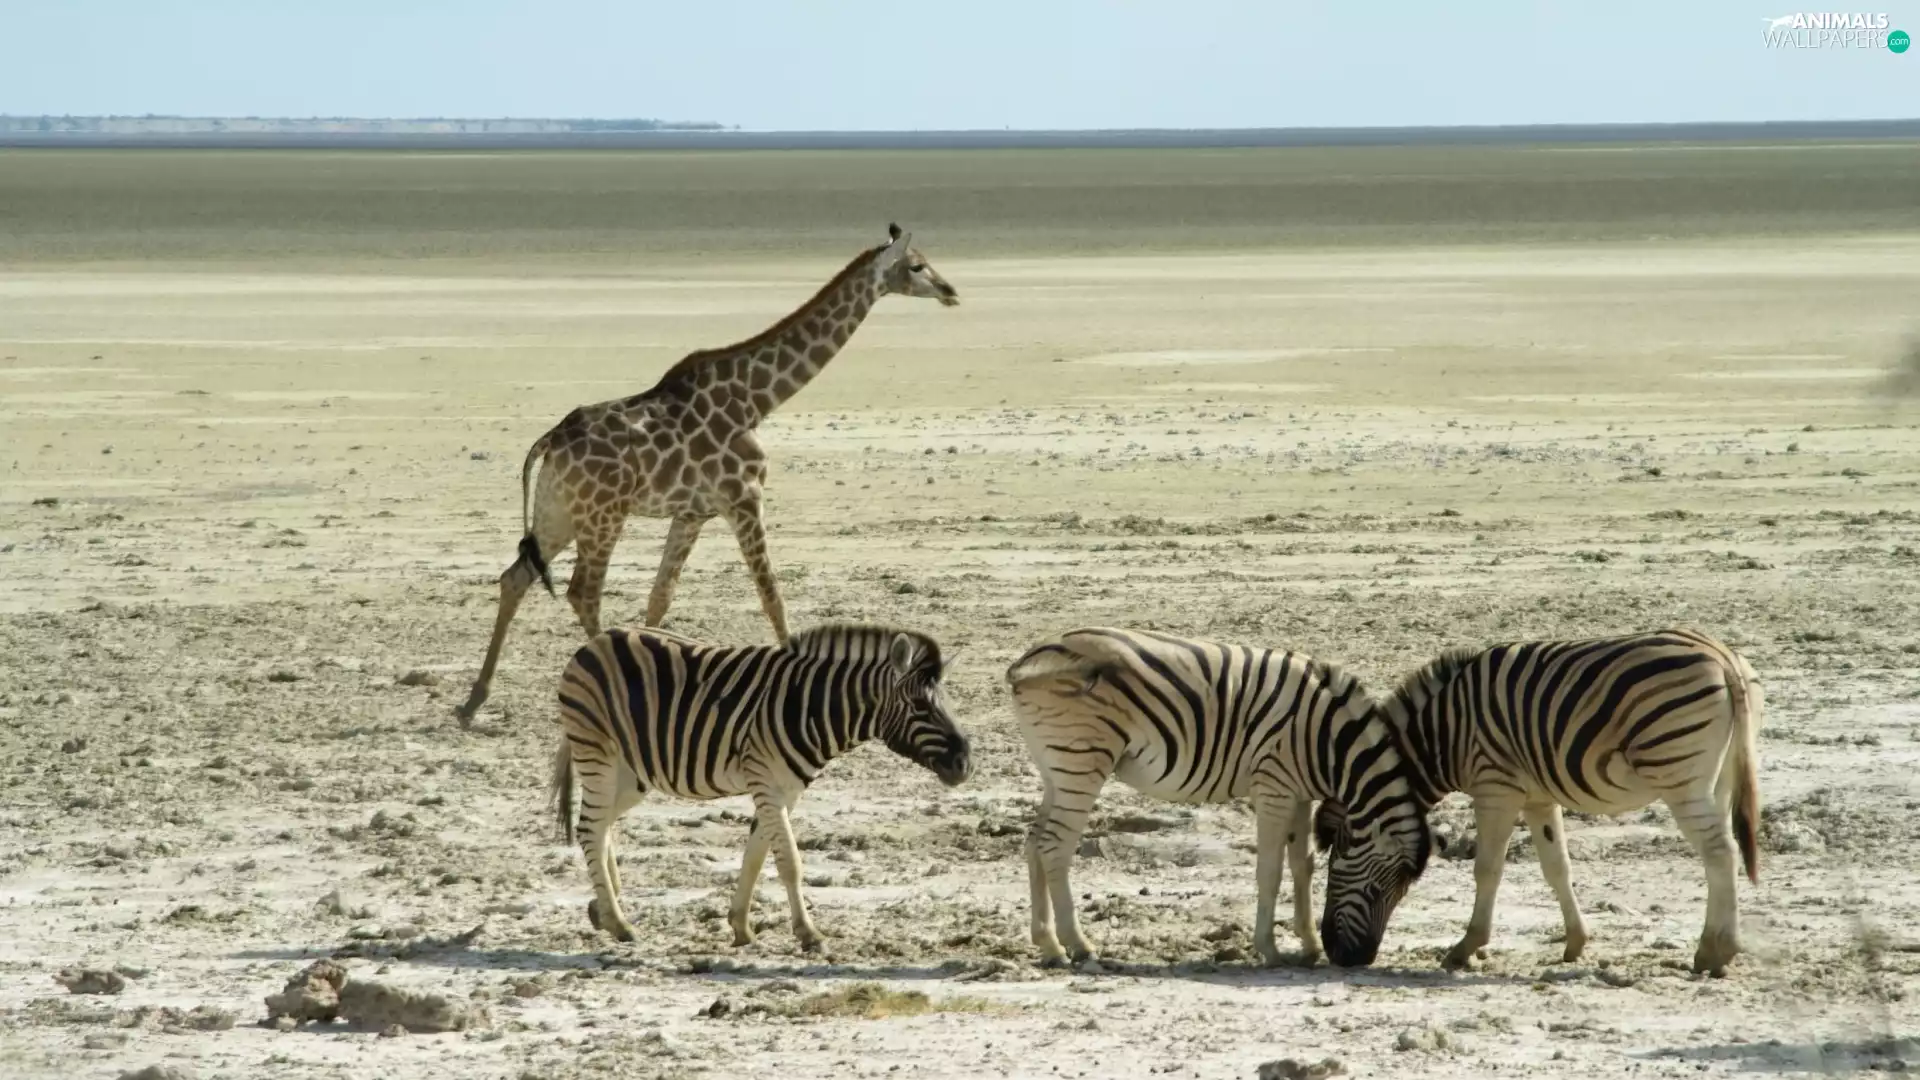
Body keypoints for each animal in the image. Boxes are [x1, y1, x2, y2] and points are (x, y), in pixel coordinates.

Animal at [454, 224, 960, 725]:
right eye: (917, 265)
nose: (950, 291)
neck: (757, 399)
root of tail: (550, 440)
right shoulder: (744, 498)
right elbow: (772, 596)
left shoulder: (693, 513)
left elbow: (660, 597)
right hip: (604, 515)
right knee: (584, 593)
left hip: (558, 511)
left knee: (516, 578)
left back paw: (474, 700)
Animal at [552, 622, 973, 949]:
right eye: (920, 707)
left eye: (949, 703)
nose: (965, 764)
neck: (814, 708)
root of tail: (595, 641)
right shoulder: (765, 781)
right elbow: (789, 862)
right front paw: (808, 934)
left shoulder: (785, 790)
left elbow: (756, 855)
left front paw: (740, 926)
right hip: (598, 751)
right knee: (590, 829)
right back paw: (618, 921)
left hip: (633, 771)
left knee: (603, 824)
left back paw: (603, 908)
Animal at [1007, 627, 1435, 969]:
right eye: (1375, 892)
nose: (1357, 960)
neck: (1328, 742)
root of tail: (1030, 658)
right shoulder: (1274, 787)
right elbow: (1270, 870)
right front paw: (1270, 949)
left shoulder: (1298, 795)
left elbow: (1303, 866)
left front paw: (1309, 946)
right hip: (1082, 760)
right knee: (1054, 847)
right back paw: (1077, 946)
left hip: (1056, 768)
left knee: (1034, 842)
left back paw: (1047, 944)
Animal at [1318, 627, 1763, 976]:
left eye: (1336, 860)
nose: (1338, 954)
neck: (1445, 733)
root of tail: (1723, 658)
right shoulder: (1538, 798)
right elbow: (1557, 868)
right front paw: (1576, 942)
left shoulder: (1495, 788)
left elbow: (1487, 869)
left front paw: (1466, 948)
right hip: (1719, 778)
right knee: (1720, 853)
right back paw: (1714, 948)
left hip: (1679, 778)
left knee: (1721, 852)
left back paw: (1716, 952)